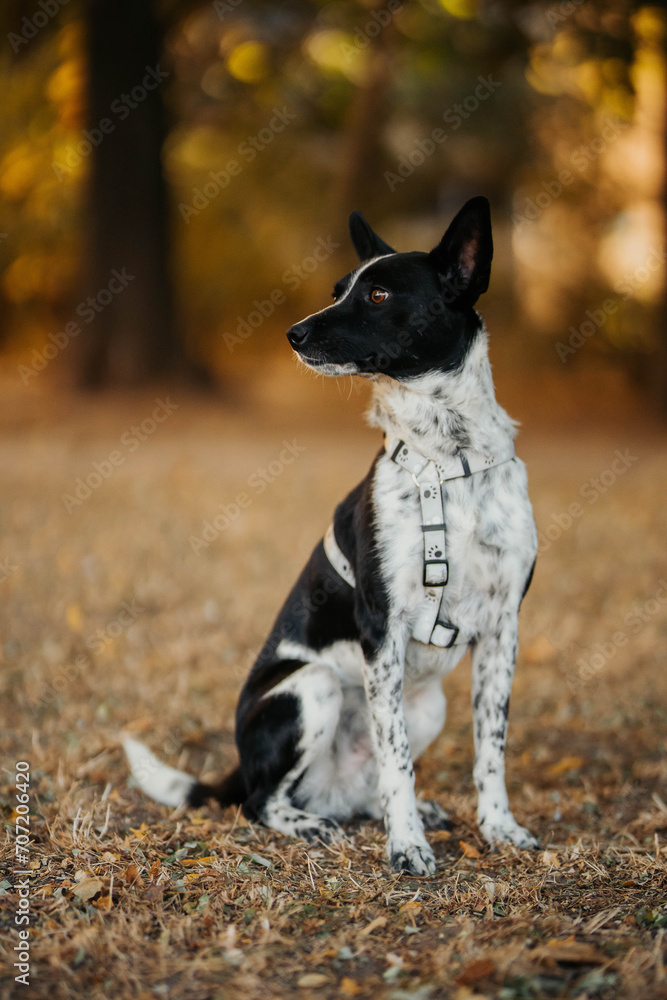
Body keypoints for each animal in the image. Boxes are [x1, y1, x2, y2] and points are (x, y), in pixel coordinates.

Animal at [125, 197, 540, 876]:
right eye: (337, 291)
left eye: (378, 294)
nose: (292, 333)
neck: (447, 458)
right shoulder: (382, 627)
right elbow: (397, 759)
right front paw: (407, 848)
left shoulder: (504, 629)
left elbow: (490, 748)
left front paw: (498, 828)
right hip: (311, 688)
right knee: (263, 801)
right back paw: (312, 822)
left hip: (428, 704)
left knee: (369, 782)